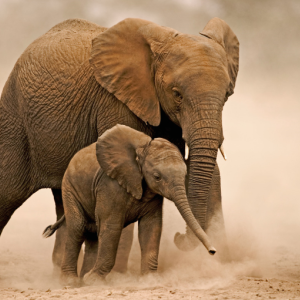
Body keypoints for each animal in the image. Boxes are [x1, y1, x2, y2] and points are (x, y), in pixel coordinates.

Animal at [0, 17, 239, 268]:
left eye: (227, 95)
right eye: (177, 94)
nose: (179, 238)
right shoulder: (115, 100)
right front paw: (117, 274)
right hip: (14, 118)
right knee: (8, 192)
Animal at [42, 124, 216, 286]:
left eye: (185, 174)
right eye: (157, 177)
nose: (213, 251)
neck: (140, 152)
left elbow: (151, 227)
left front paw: (151, 280)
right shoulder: (110, 185)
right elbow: (111, 227)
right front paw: (94, 281)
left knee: (92, 233)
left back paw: (83, 278)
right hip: (69, 188)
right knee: (78, 227)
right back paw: (71, 281)